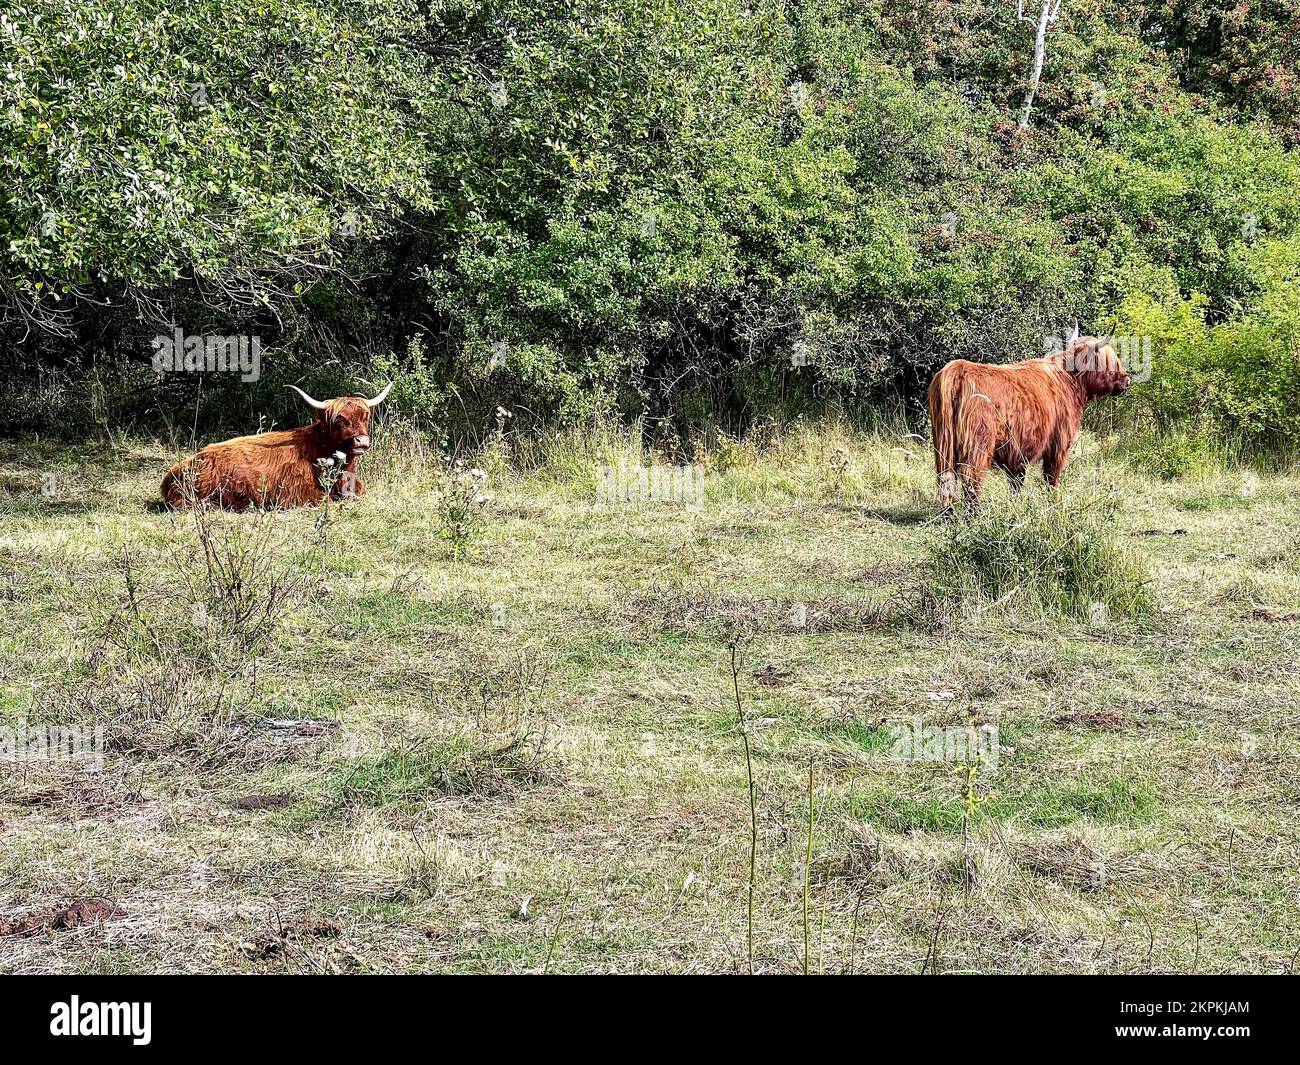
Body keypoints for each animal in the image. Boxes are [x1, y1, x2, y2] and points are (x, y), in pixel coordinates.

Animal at [930, 338, 1133, 512]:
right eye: (1110, 362)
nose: (1127, 379)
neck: (1070, 381)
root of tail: (957, 368)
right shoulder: (1058, 445)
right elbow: (1051, 478)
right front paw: (1052, 505)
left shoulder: (1017, 452)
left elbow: (1016, 483)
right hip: (977, 446)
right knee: (971, 479)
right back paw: (973, 516)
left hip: (943, 444)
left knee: (946, 478)